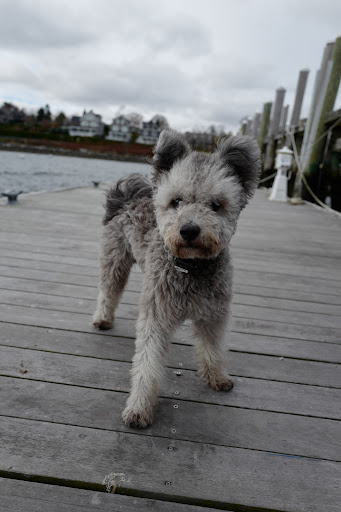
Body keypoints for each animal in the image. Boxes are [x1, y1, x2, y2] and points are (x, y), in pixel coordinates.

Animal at [91, 129, 258, 428]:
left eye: (216, 205)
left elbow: (213, 348)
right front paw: (139, 408)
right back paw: (102, 318)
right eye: (176, 201)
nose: (189, 230)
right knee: (108, 290)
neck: (190, 268)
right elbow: (147, 364)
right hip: (114, 261)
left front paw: (217, 377)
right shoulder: (155, 317)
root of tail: (128, 195)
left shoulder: (213, 314)